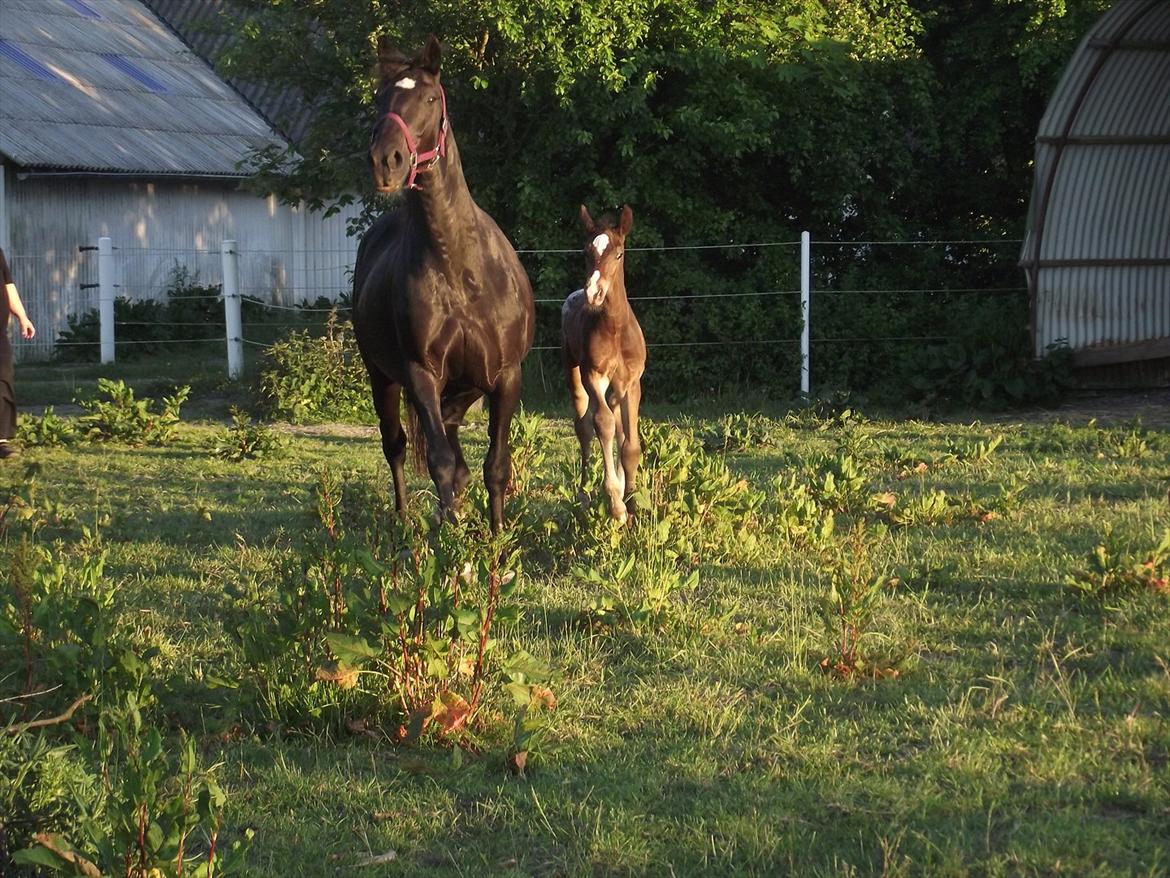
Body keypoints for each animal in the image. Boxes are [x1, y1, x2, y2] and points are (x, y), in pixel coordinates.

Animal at [559, 206, 645, 522]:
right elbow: (603, 424)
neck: (616, 329)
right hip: (573, 370)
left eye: (618, 254)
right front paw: (616, 505)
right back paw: (584, 496)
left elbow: (629, 443)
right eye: (586, 252)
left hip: (616, 388)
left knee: (617, 426)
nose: (593, 293)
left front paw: (632, 501)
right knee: (584, 425)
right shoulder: (593, 375)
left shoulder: (632, 381)